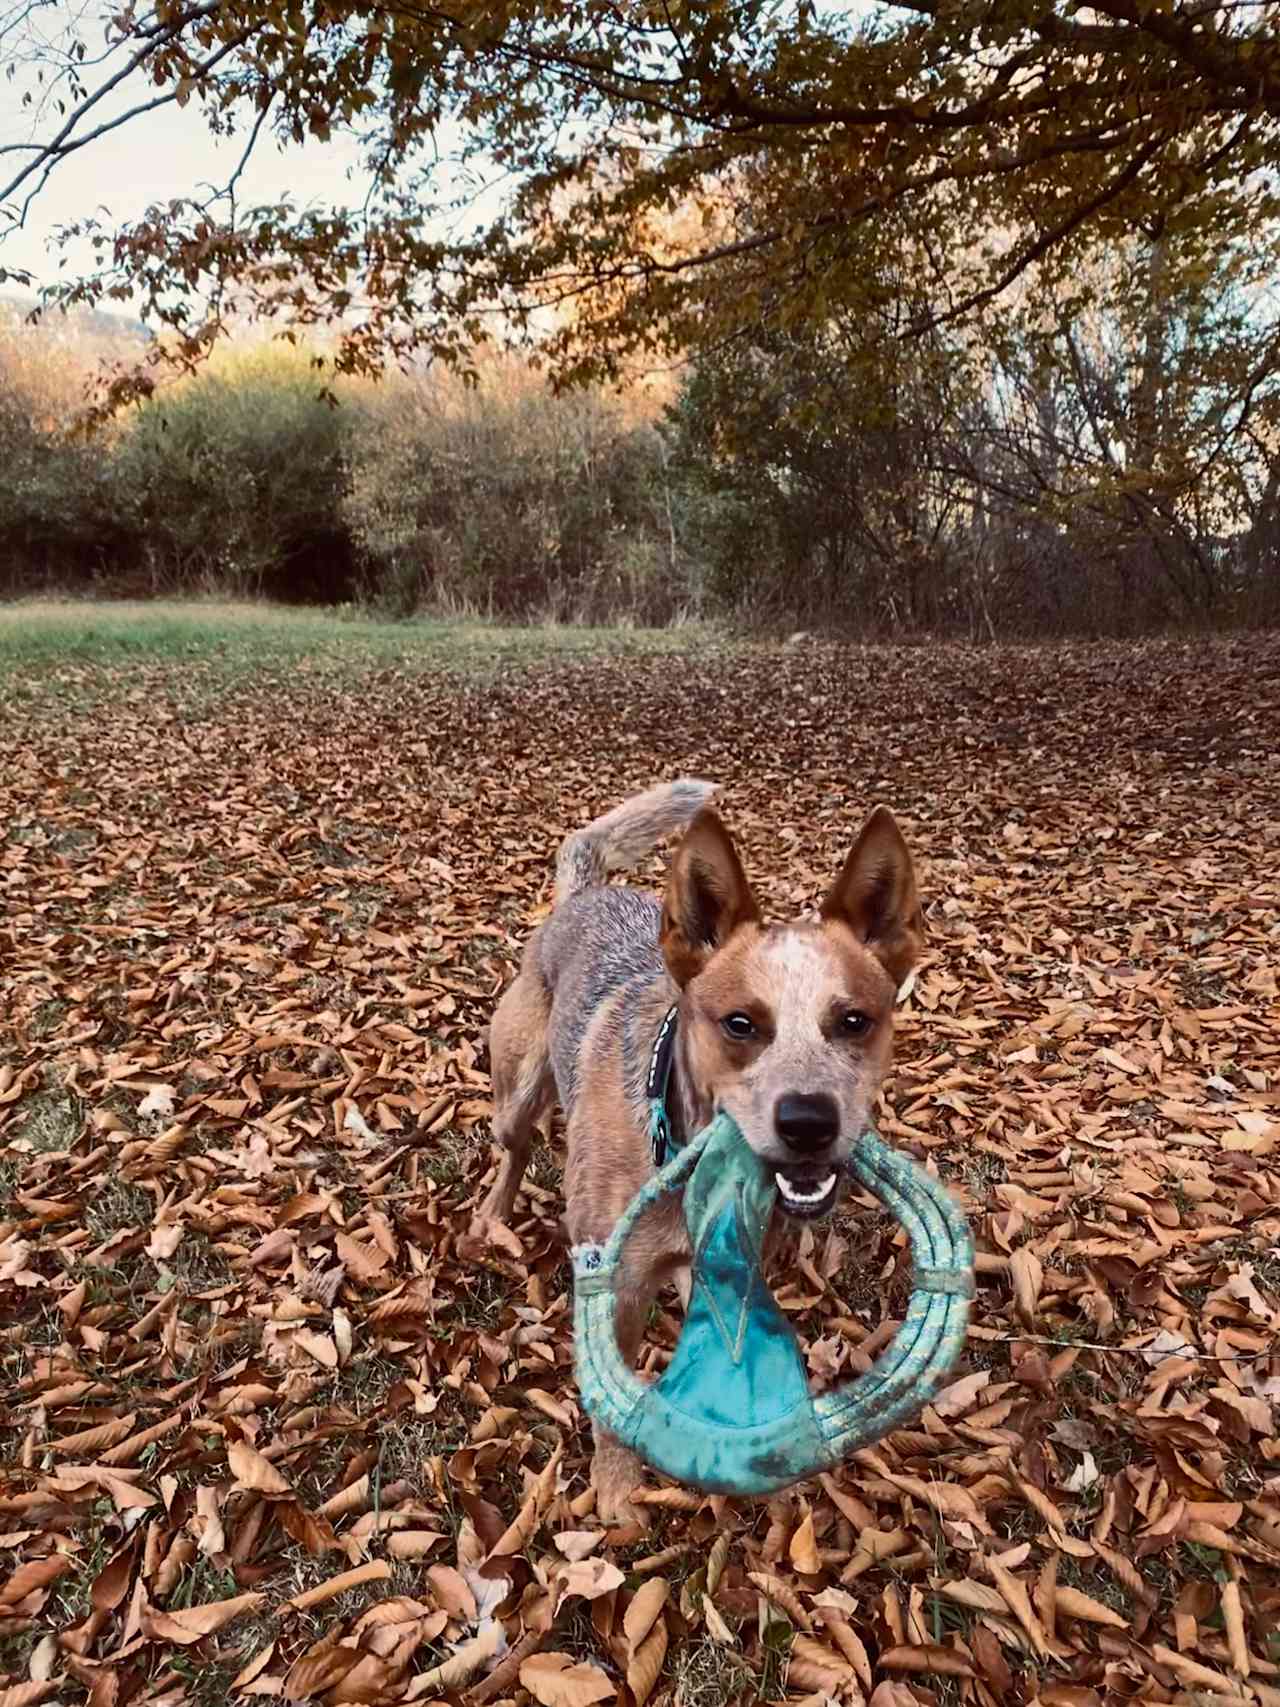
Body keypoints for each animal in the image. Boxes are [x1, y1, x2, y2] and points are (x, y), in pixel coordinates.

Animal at [477, 781, 928, 1515]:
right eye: (740, 1024)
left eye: (854, 1020)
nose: (809, 1121)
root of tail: (587, 895)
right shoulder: (617, 1287)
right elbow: (612, 1415)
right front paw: (616, 1491)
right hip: (518, 1091)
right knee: (514, 1147)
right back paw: (492, 1213)